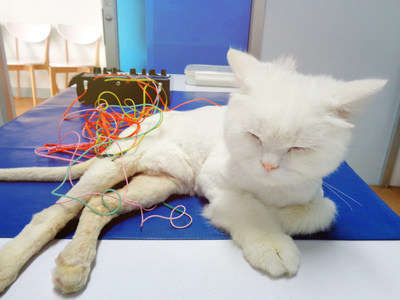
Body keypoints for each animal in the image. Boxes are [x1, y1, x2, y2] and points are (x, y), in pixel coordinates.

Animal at [0, 48, 388, 292]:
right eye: (253, 136)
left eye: (298, 148)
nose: (267, 165)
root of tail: (134, 126)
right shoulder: (214, 179)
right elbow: (246, 207)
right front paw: (269, 240)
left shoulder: (314, 192)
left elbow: (320, 211)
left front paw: (280, 217)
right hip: (115, 166)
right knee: (54, 214)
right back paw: (11, 265)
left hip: (158, 184)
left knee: (97, 207)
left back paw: (73, 264)